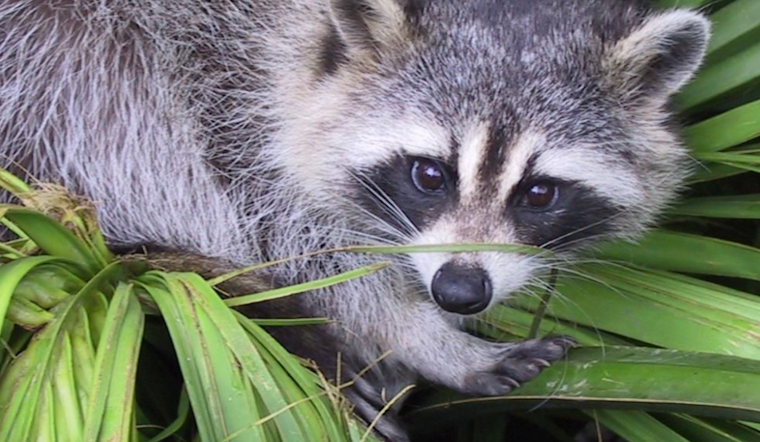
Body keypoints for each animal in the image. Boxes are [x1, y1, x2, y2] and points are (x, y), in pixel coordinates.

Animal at [0, 0, 709, 440]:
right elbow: (303, 245)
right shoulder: (222, 84)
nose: (459, 290)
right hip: (55, 61)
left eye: (539, 193)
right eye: (430, 175)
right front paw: (425, 337)